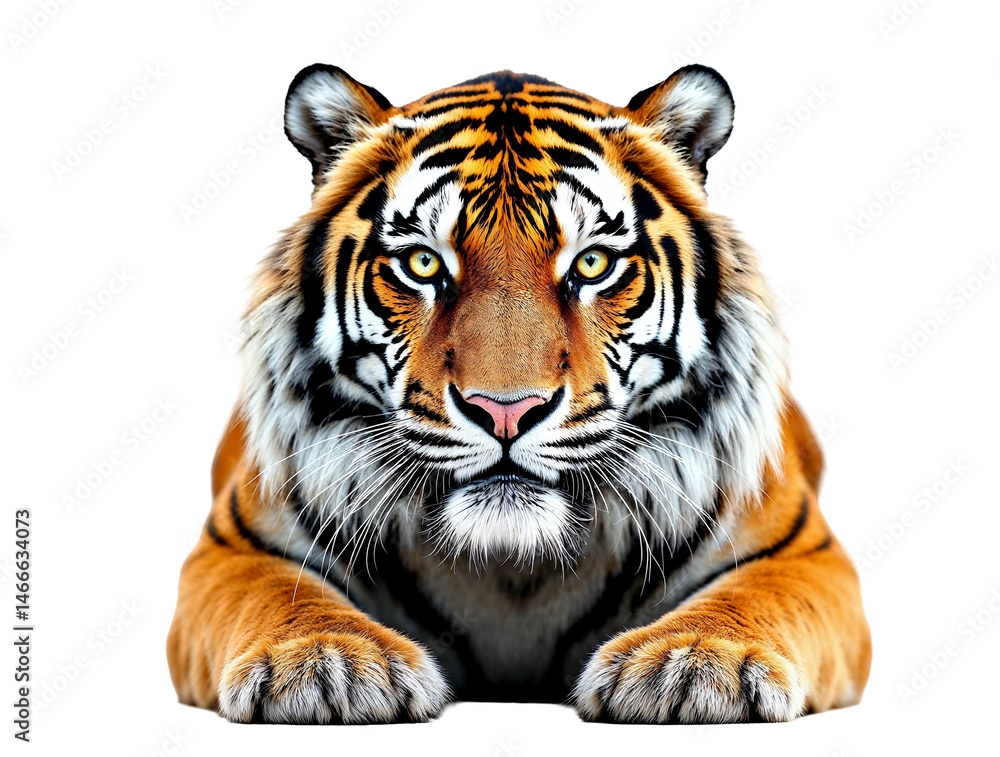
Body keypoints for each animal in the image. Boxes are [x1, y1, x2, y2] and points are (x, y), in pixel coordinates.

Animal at [167, 63, 872, 724]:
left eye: (592, 263)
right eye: (424, 263)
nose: (506, 411)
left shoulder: (802, 552)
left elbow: (751, 597)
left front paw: (698, 661)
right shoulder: (235, 548)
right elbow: (278, 596)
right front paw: (324, 660)